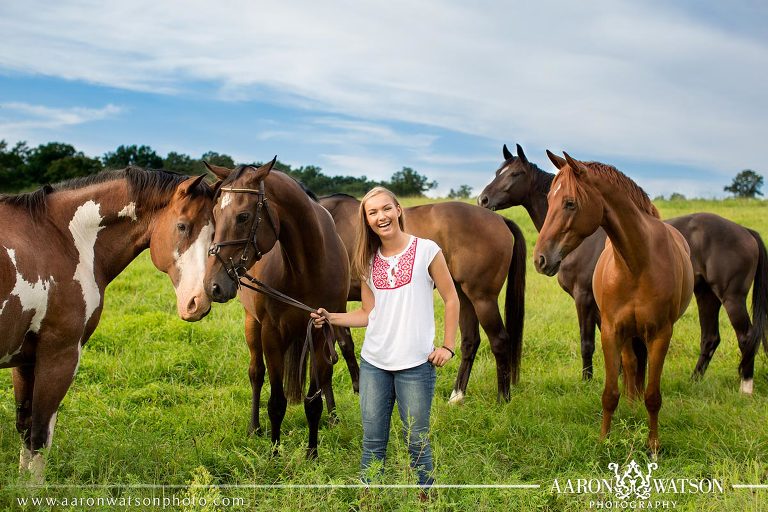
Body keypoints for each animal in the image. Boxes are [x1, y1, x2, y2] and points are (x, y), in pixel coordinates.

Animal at [1, 168, 216, 480]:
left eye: (214, 234)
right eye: (183, 226)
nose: (198, 302)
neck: (60, 238)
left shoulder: (25, 360)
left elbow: (25, 429)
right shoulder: (59, 356)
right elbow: (39, 435)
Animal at [202, 158, 350, 458]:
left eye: (243, 216)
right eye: (215, 213)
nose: (213, 286)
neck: (309, 267)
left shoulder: (320, 331)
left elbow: (313, 400)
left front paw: (312, 454)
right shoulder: (272, 333)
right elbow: (277, 401)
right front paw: (274, 454)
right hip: (252, 324)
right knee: (256, 375)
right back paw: (254, 428)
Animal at [318, 194, 528, 402]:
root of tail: (500, 219)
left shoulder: (336, 304)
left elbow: (342, 347)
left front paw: (355, 390)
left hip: (482, 299)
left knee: (499, 341)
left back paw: (503, 399)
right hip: (462, 295)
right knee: (470, 341)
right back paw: (457, 396)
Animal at [480, 144, 768, 392]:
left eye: (515, 174)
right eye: (497, 172)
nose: (483, 199)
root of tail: (746, 232)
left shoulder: (584, 298)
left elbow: (587, 343)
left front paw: (587, 382)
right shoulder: (604, 306)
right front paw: (620, 377)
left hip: (731, 297)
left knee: (746, 336)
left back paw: (746, 386)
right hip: (706, 295)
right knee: (710, 338)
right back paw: (694, 381)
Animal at [536, 150, 696, 454]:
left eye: (570, 203)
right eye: (548, 200)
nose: (540, 259)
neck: (637, 264)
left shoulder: (661, 334)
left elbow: (653, 395)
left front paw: (653, 445)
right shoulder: (610, 331)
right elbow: (611, 392)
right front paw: (603, 441)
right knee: (631, 366)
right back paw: (631, 409)